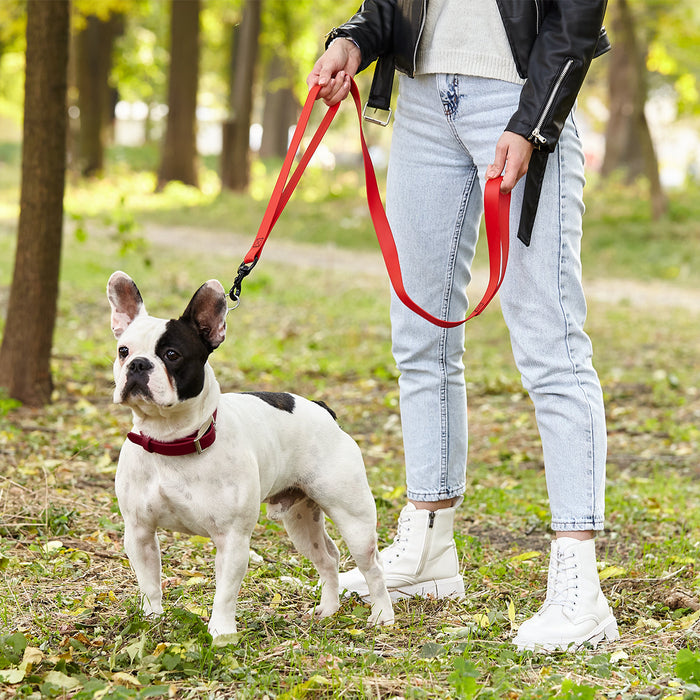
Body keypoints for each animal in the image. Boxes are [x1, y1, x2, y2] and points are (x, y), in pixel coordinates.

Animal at [108, 270, 394, 636]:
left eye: (172, 354)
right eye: (123, 351)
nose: (138, 364)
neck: (170, 440)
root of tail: (323, 409)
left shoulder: (232, 539)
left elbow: (225, 593)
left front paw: (221, 633)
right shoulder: (139, 531)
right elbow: (149, 583)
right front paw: (152, 620)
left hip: (353, 517)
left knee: (373, 566)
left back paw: (383, 614)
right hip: (300, 520)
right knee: (327, 558)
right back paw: (328, 609)